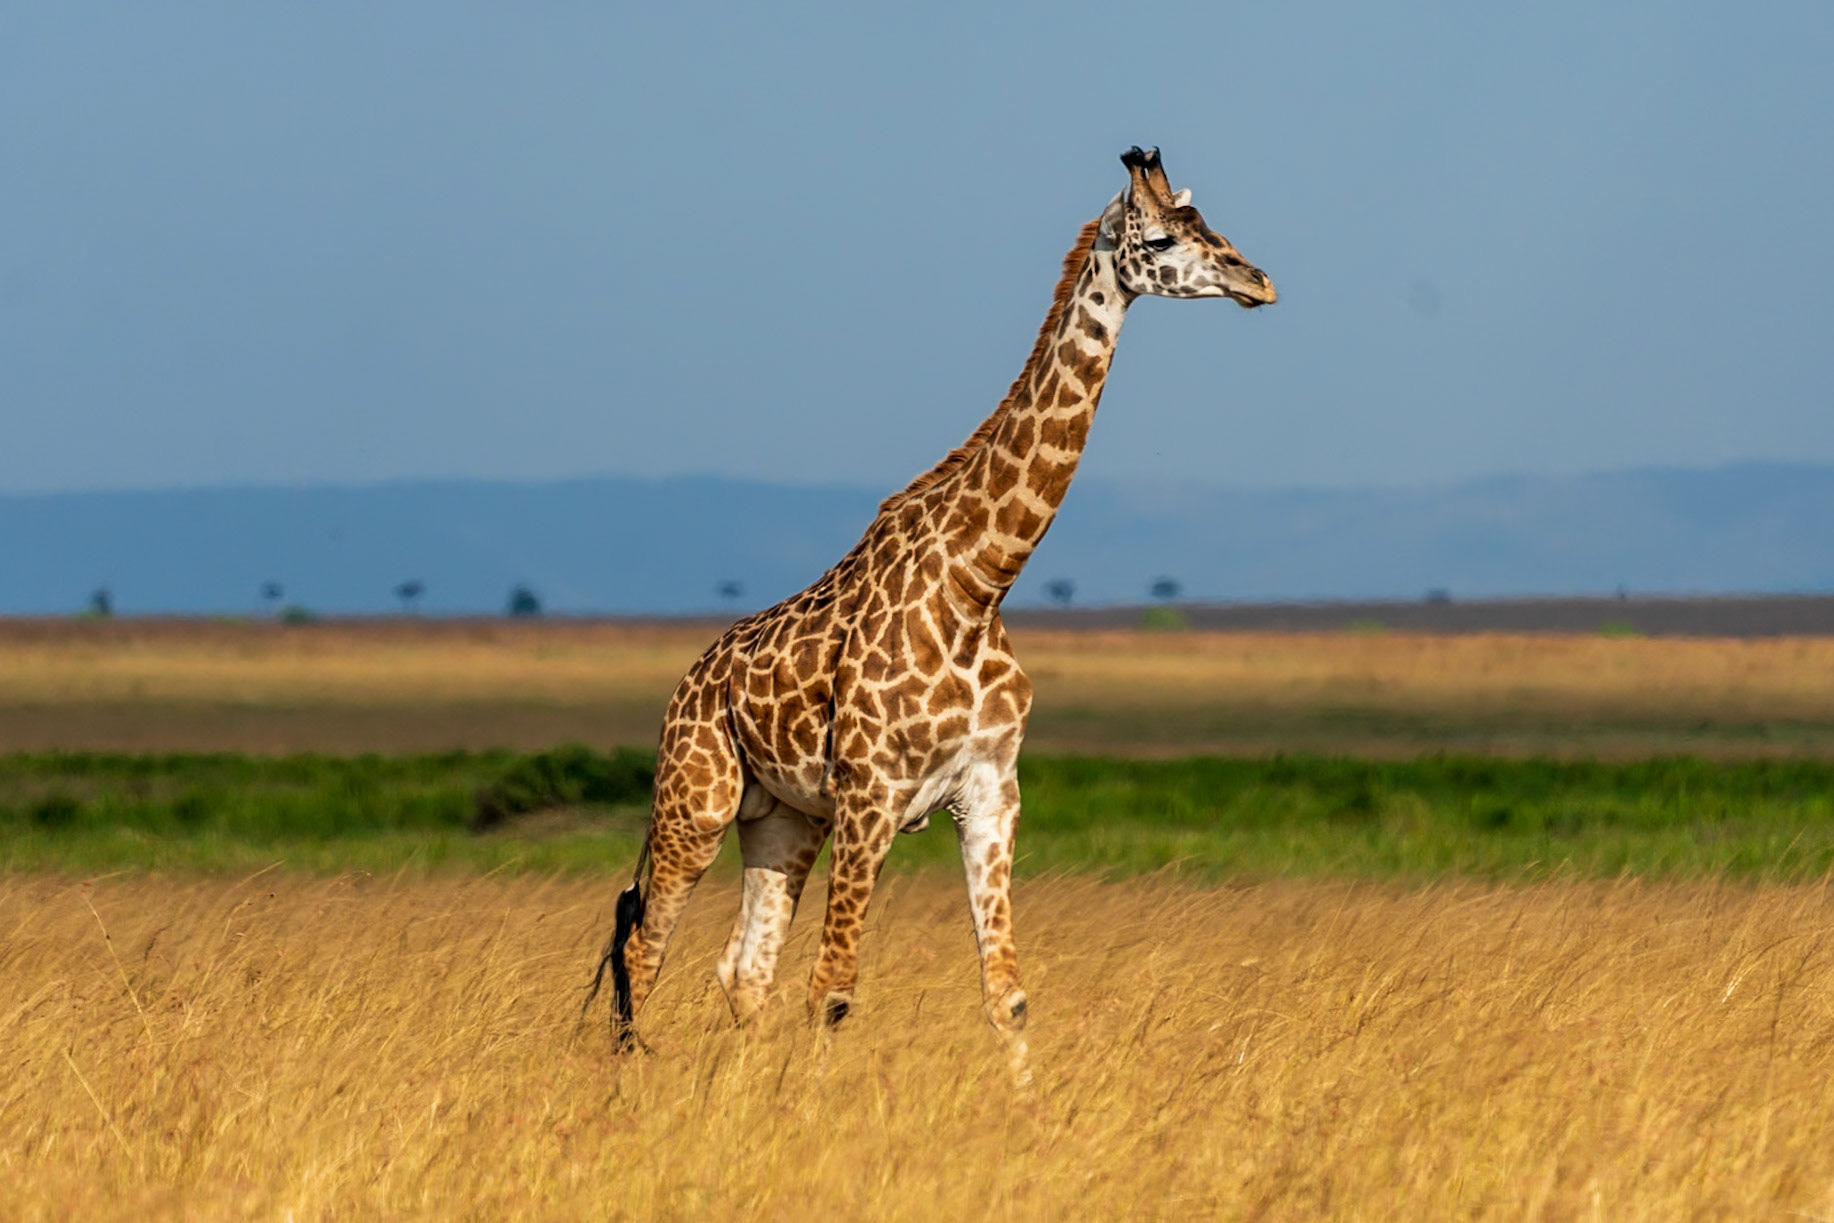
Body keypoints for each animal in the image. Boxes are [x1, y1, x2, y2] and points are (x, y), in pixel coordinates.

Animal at [590, 147, 1275, 1075]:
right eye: (1165, 237)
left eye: (1212, 224)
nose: (1258, 280)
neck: (980, 583)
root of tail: (688, 685)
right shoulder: (873, 793)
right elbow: (834, 988)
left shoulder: (990, 789)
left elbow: (1007, 993)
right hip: (697, 800)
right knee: (644, 945)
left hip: (785, 820)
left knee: (743, 967)